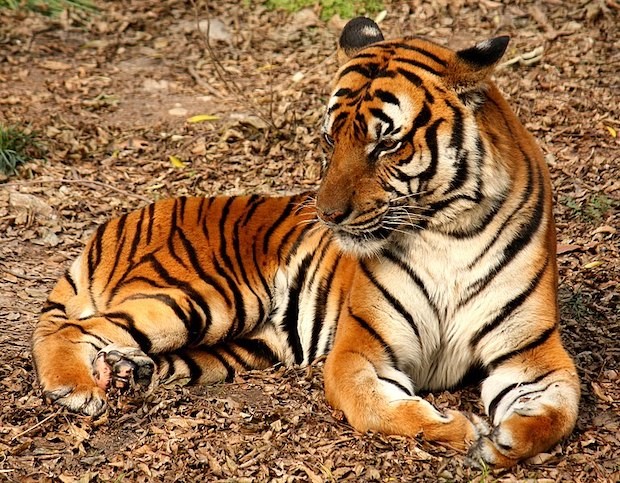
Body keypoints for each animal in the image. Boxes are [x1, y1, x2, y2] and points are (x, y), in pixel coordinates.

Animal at [31, 17, 580, 466]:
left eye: (386, 142)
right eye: (330, 138)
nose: (328, 215)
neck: (448, 232)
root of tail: (120, 220)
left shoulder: (532, 354)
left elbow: (559, 411)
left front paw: (505, 440)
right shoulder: (360, 350)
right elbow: (381, 408)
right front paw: (460, 430)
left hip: (243, 345)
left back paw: (126, 373)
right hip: (204, 297)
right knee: (72, 328)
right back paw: (76, 388)